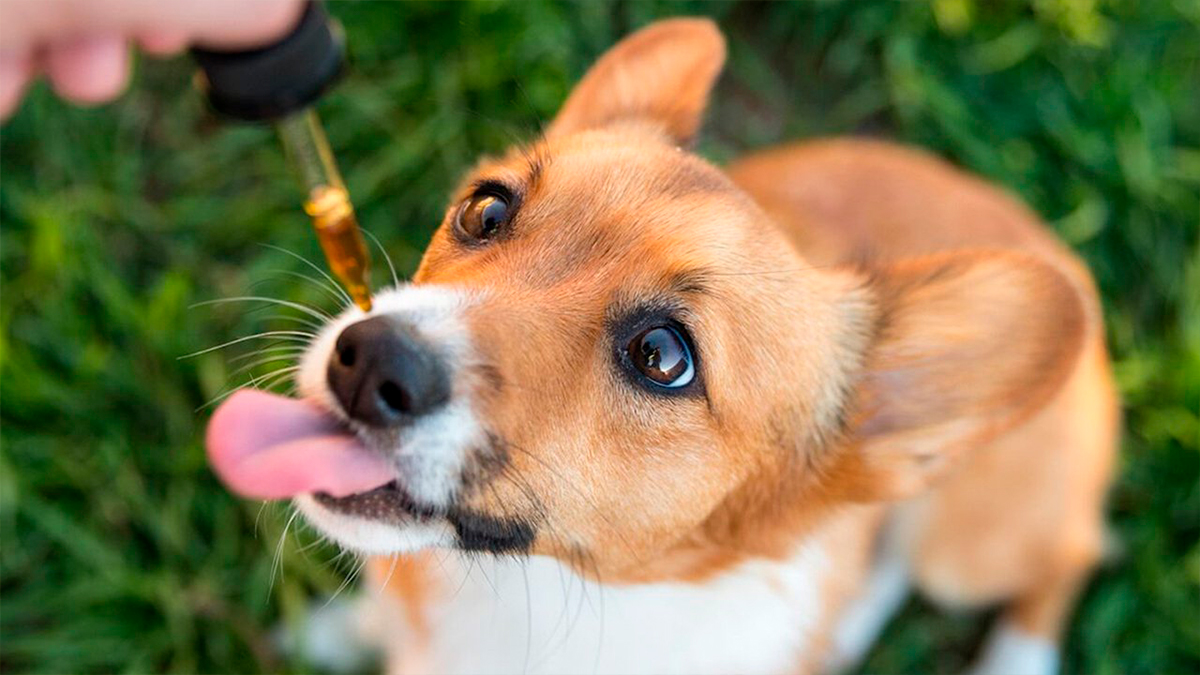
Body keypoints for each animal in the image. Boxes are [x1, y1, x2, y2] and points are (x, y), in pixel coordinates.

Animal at [206, 17, 1113, 672]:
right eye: (485, 209)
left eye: (663, 357)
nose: (367, 362)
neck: (543, 598)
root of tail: (1059, 249)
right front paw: (343, 630)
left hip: (966, 544)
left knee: (1069, 550)